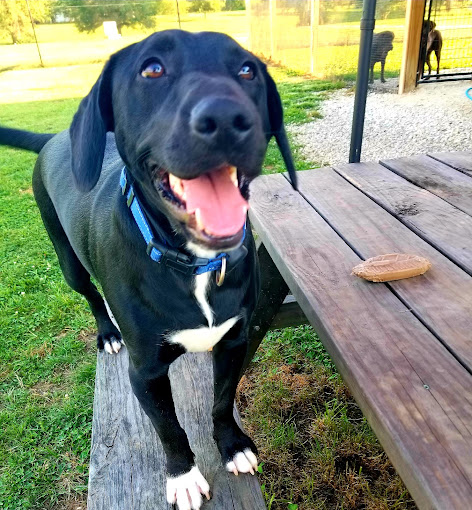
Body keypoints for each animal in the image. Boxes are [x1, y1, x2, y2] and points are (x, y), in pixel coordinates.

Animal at [0, 29, 296, 508]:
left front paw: (232, 446)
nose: (227, 117)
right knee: (90, 295)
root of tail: (54, 138)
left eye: (247, 69)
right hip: (68, 261)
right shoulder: (146, 373)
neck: (192, 264)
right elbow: (169, 428)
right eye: (152, 68)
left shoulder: (234, 340)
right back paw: (107, 334)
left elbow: (221, 401)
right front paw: (183, 477)